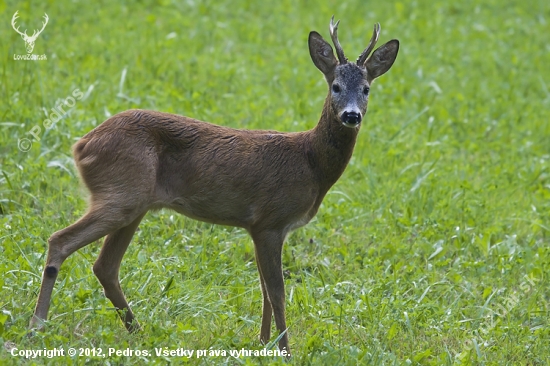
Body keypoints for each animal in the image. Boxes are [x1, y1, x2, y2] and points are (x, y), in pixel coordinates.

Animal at [29, 16, 402, 354]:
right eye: (335, 86)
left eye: (366, 89)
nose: (351, 115)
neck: (310, 161)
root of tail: (82, 145)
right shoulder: (270, 220)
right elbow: (277, 291)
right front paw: (284, 350)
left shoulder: (258, 226)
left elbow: (264, 289)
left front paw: (262, 343)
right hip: (121, 194)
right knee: (60, 240)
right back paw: (37, 327)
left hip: (134, 204)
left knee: (104, 266)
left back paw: (138, 331)